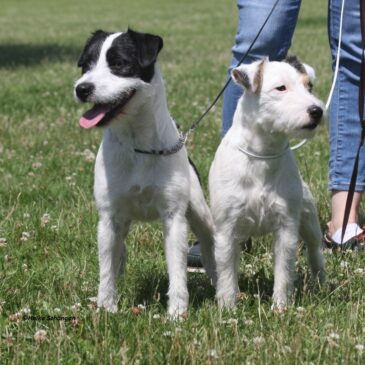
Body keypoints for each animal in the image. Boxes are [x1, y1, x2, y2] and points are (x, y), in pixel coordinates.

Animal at [74, 29, 216, 318]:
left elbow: (177, 270)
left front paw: (177, 313)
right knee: (118, 249)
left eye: (119, 63)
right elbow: (106, 268)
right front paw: (106, 307)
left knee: (209, 244)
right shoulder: (109, 216)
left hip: (199, 211)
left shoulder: (174, 217)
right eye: (86, 65)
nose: (82, 88)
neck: (137, 143)